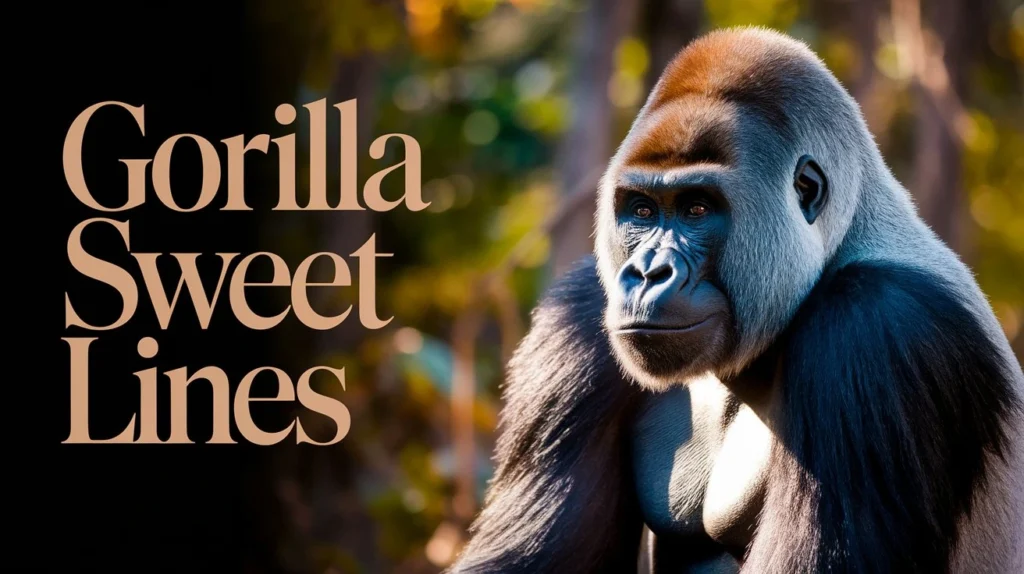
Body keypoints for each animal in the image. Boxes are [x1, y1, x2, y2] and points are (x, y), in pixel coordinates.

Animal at [447, 27, 1024, 574]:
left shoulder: (878, 327)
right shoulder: (583, 309)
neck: (847, 236)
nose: (647, 273)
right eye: (642, 210)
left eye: (698, 209)